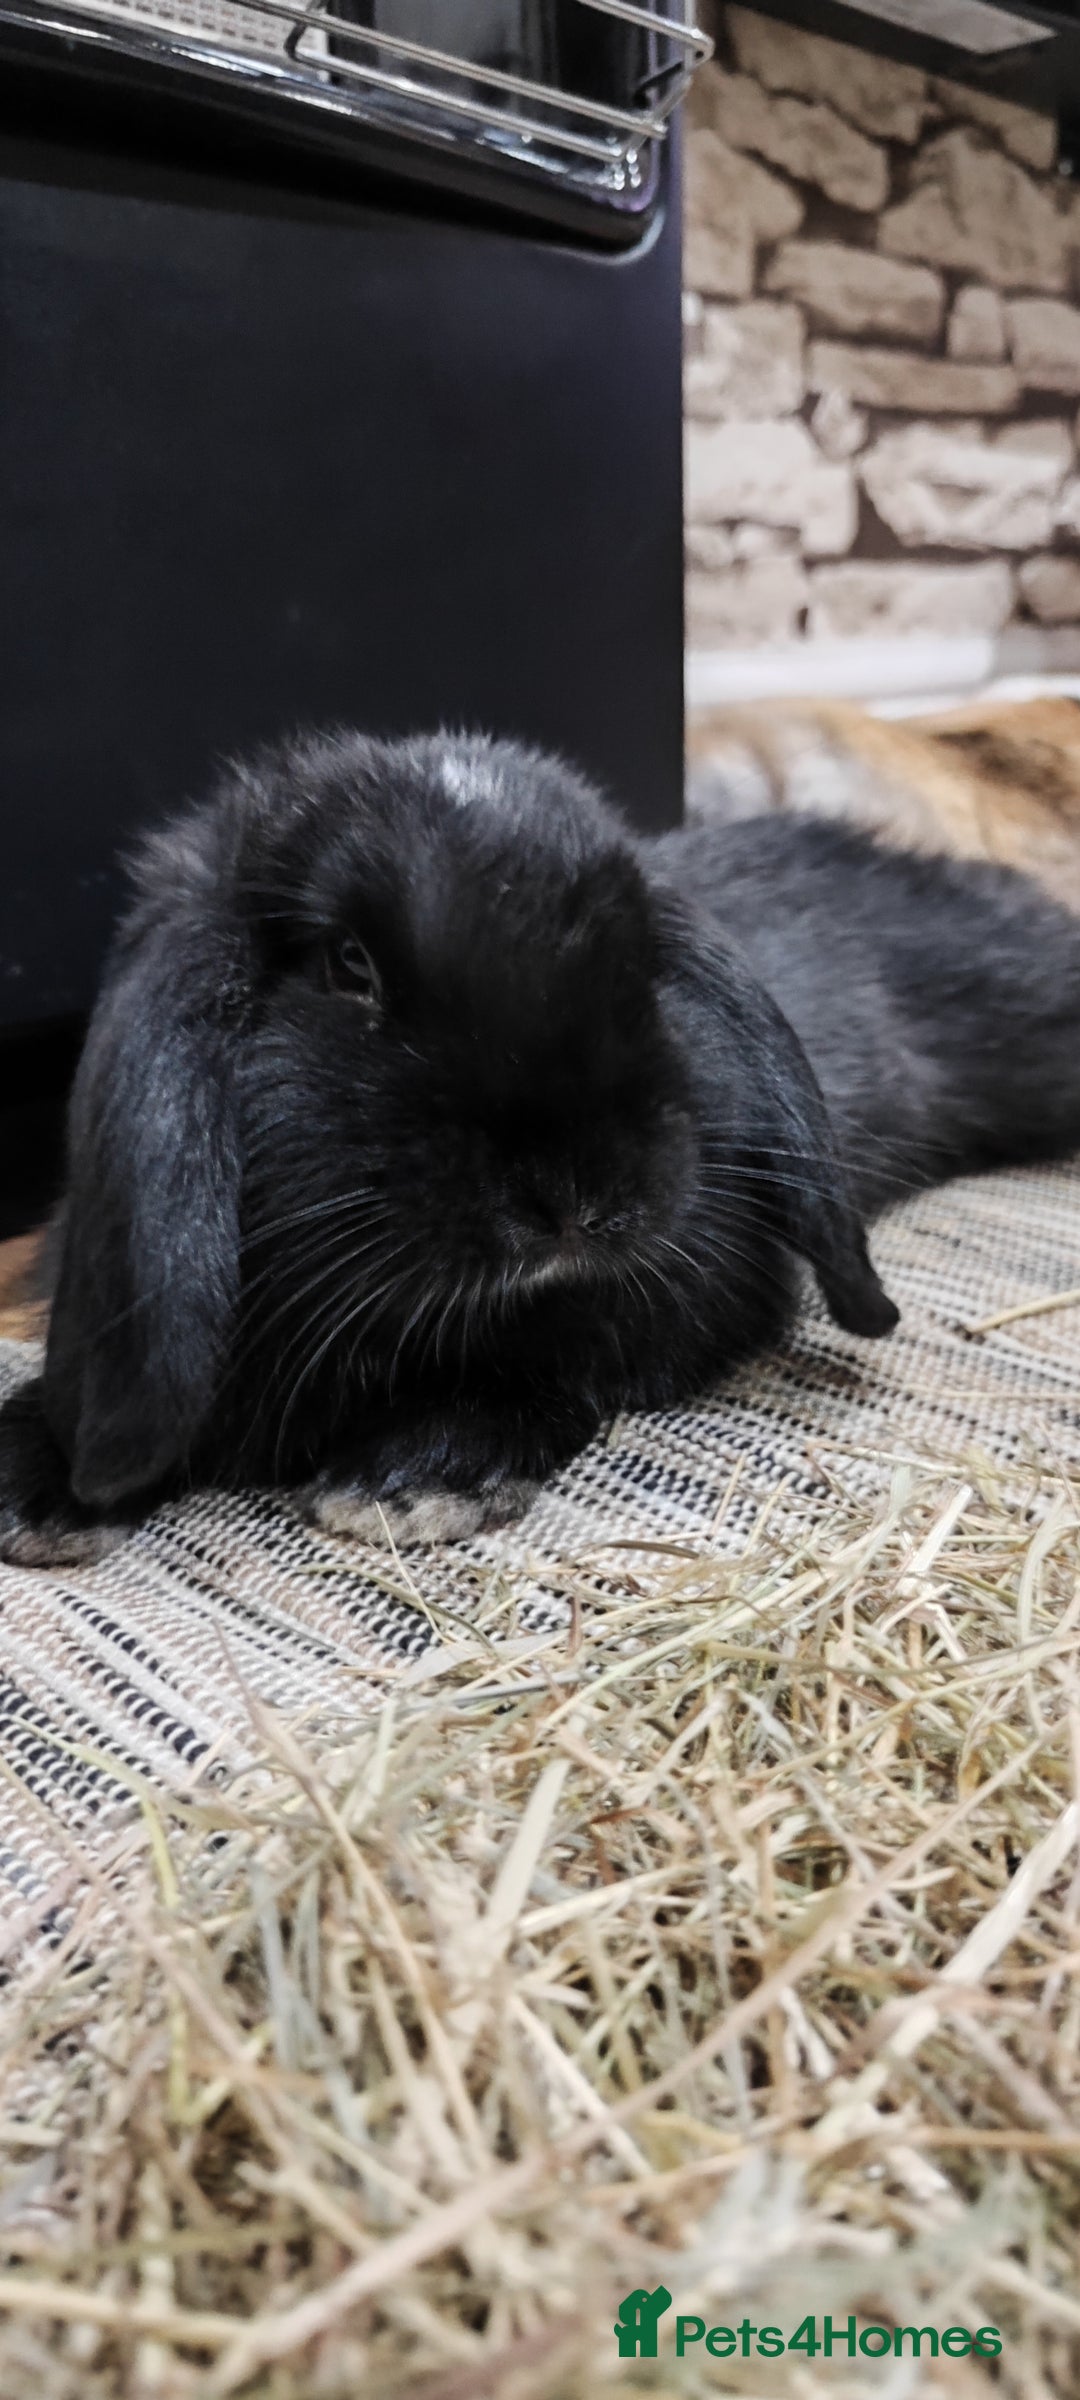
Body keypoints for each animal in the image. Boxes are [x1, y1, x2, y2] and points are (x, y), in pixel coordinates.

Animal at [1, 726, 1078, 1569]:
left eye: (641, 964)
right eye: (349, 966)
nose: (578, 1195)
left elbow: (558, 1369)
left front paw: (413, 1477)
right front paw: (35, 1484)